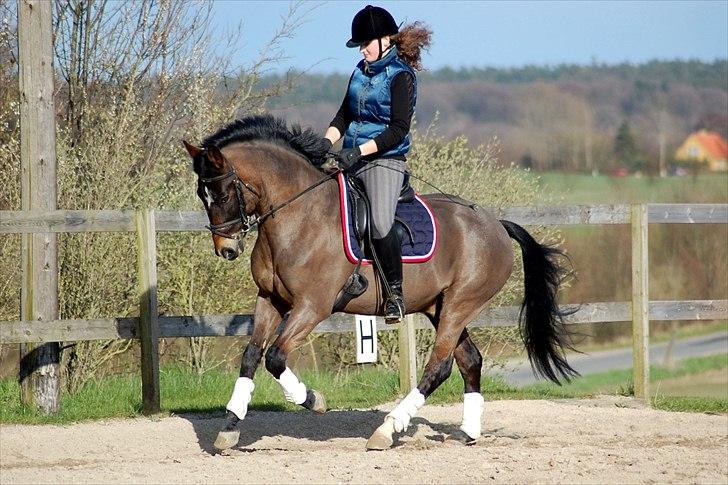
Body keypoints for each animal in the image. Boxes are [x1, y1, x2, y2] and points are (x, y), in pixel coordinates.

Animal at [183, 115, 577, 451]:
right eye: (203, 195)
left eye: (221, 193)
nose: (226, 249)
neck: (299, 215)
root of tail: (496, 224)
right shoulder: (269, 299)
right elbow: (251, 356)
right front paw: (229, 428)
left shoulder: (312, 306)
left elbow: (276, 358)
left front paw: (314, 401)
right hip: (440, 306)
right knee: (469, 360)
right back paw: (467, 433)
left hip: (461, 303)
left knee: (439, 366)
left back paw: (387, 430)